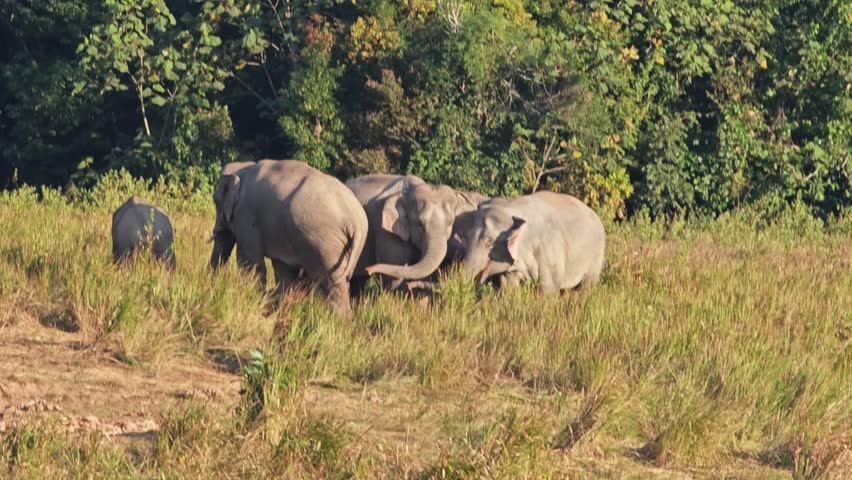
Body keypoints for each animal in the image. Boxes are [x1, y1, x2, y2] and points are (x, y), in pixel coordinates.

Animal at [209, 159, 368, 318]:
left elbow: (250, 261)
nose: (213, 286)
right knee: (341, 281)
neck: (243, 167)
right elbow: (284, 270)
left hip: (326, 244)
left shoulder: (246, 215)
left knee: (332, 282)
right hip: (344, 248)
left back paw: (338, 320)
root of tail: (356, 221)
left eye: (215, 200)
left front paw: (253, 299)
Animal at [459, 191, 605, 291]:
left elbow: (549, 288)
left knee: (586, 286)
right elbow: (508, 284)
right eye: (467, 236)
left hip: (596, 255)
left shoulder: (549, 249)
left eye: (489, 242)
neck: (511, 206)